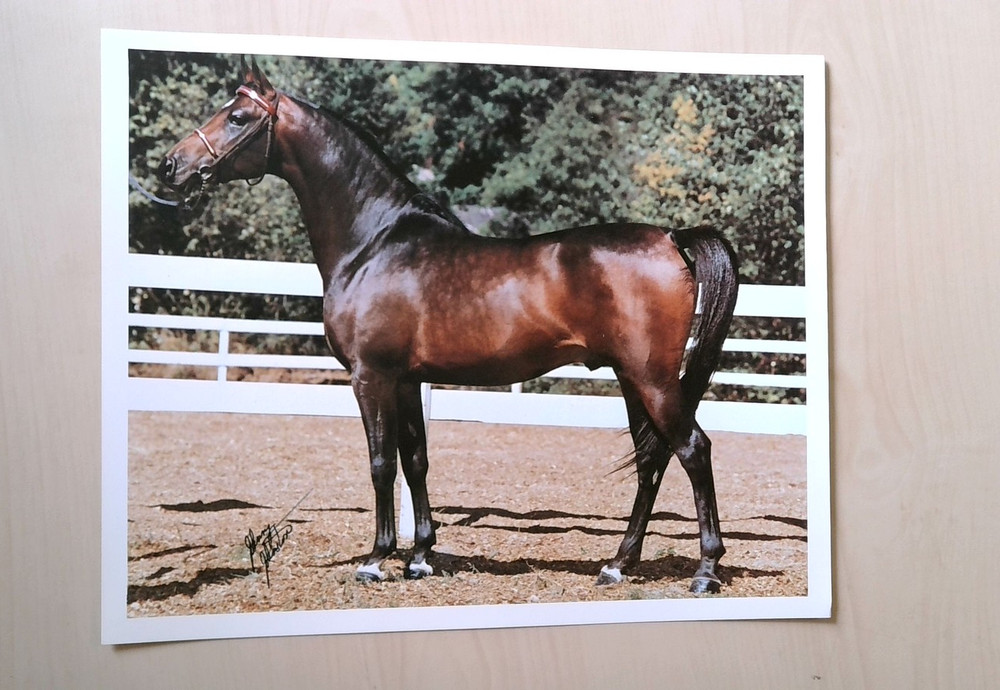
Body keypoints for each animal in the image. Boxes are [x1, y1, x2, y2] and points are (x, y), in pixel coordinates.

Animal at [158, 58, 740, 593]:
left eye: (237, 117)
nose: (171, 165)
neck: (374, 243)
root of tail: (670, 237)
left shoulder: (370, 377)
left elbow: (380, 463)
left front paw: (377, 559)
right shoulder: (407, 379)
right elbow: (415, 460)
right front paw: (419, 556)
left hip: (651, 379)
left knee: (692, 451)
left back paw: (706, 571)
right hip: (630, 378)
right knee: (651, 460)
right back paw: (618, 564)